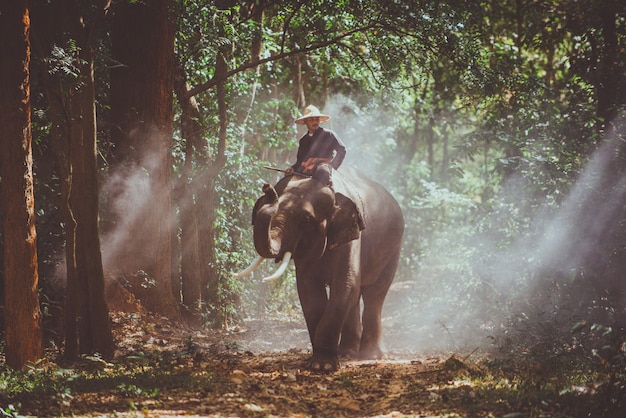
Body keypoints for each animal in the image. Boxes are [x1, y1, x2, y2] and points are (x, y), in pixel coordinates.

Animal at [235, 167, 404, 372]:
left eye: (306, 219)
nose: (267, 188)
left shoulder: (352, 237)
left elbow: (344, 283)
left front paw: (323, 366)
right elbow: (310, 291)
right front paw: (319, 362)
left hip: (394, 248)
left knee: (375, 294)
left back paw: (371, 356)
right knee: (356, 296)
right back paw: (348, 354)